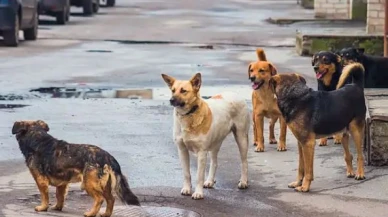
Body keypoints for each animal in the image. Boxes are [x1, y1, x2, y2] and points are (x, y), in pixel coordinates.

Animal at [12, 120, 141, 217]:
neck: (37, 138)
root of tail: (108, 157)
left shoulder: (41, 180)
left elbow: (45, 196)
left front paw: (43, 207)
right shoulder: (62, 183)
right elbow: (59, 196)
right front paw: (58, 207)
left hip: (89, 183)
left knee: (100, 199)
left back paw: (90, 213)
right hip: (105, 185)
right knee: (111, 199)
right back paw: (105, 214)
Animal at [161, 72, 250, 200]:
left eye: (183, 91)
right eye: (173, 90)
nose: (171, 100)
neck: (189, 115)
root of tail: (235, 94)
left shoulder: (202, 153)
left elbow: (199, 175)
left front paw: (198, 193)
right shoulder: (182, 150)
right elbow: (186, 173)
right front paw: (187, 189)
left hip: (241, 138)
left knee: (244, 162)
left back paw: (243, 181)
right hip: (216, 142)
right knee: (214, 162)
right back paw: (210, 181)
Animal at [270, 62, 366, 192]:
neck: (295, 96)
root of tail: (356, 86)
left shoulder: (308, 144)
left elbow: (308, 170)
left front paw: (305, 186)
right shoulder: (301, 143)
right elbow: (301, 167)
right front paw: (298, 182)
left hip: (356, 131)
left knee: (360, 156)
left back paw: (360, 174)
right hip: (343, 133)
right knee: (348, 155)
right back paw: (350, 172)